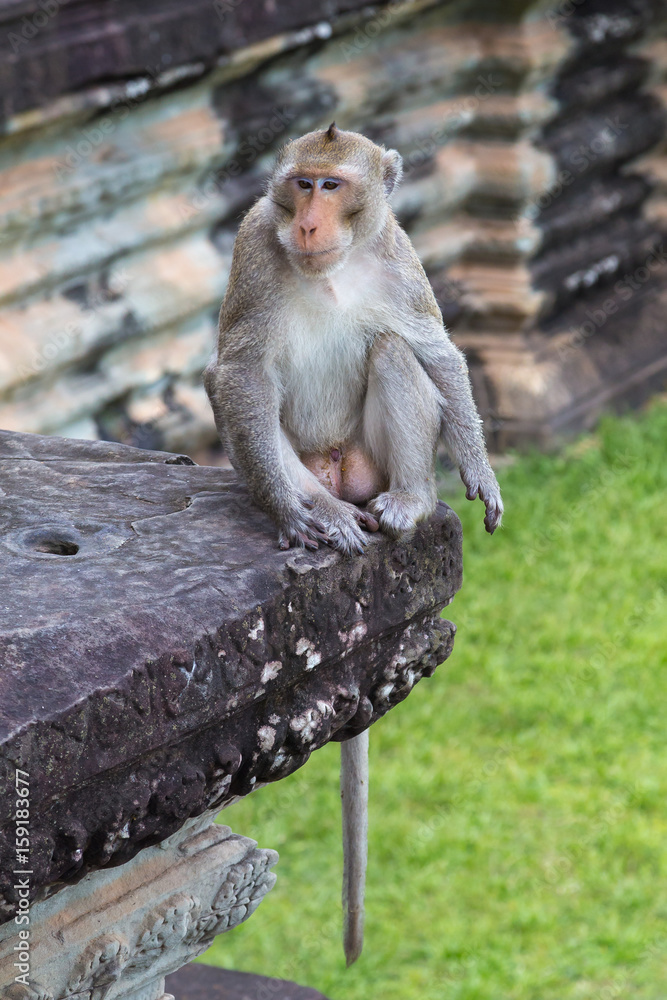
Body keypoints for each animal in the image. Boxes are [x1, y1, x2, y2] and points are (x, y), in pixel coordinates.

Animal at [204, 122, 503, 964]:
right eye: (300, 183)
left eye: (332, 187)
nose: (308, 222)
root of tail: (346, 476)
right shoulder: (252, 245)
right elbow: (240, 372)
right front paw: (290, 516)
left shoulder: (399, 255)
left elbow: (435, 350)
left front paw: (477, 465)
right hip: (311, 466)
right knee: (242, 391)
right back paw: (314, 512)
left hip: (368, 463)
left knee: (392, 351)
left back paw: (410, 500)